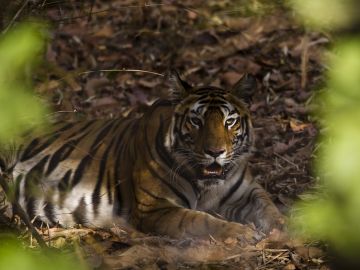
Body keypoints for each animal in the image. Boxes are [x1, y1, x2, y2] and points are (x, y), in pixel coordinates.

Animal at [1, 70, 286, 244]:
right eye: (196, 121)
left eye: (229, 121)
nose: (215, 152)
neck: (208, 187)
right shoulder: (156, 208)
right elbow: (202, 220)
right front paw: (241, 233)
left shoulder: (248, 193)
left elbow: (269, 208)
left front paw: (286, 228)